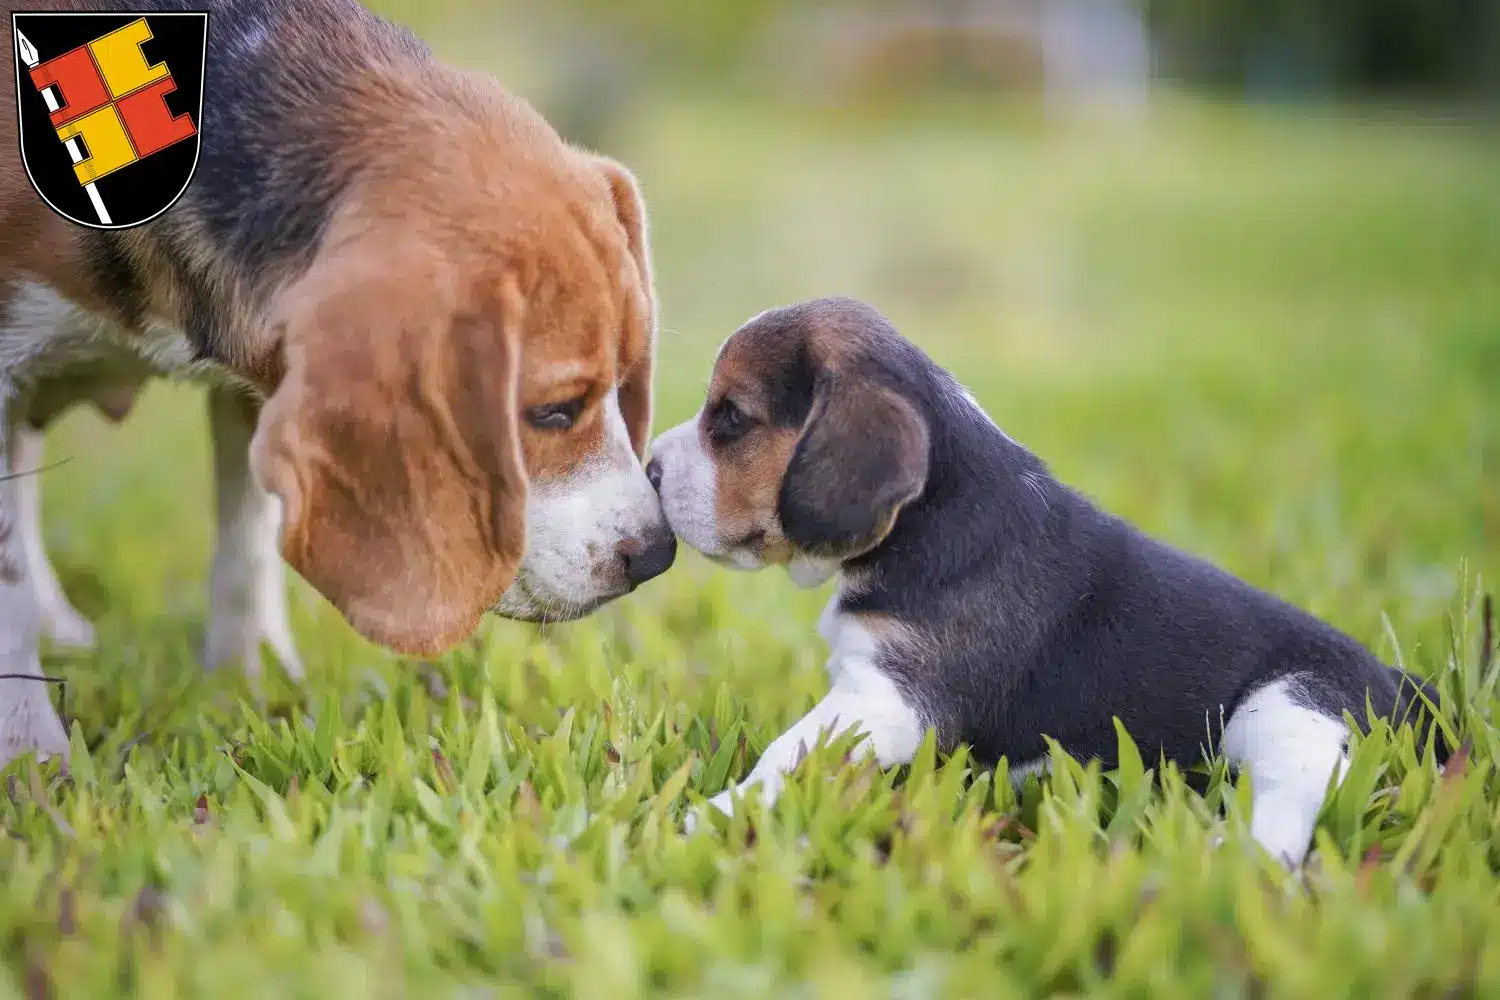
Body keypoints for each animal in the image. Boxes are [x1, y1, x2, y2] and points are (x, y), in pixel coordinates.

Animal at [0, 0, 678, 773]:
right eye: (553, 411)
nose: (657, 554)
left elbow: (247, 541)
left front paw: (250, 684)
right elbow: (6, 572)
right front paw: (27, 748)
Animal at [651, 296, 1446, 869]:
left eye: (730, 418)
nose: (652, 470)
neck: (935, 510)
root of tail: (1402, 686)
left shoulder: (886, 700)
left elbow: (786, 752)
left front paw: (713, 815)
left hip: (1287, 710)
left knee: (1288, 805)